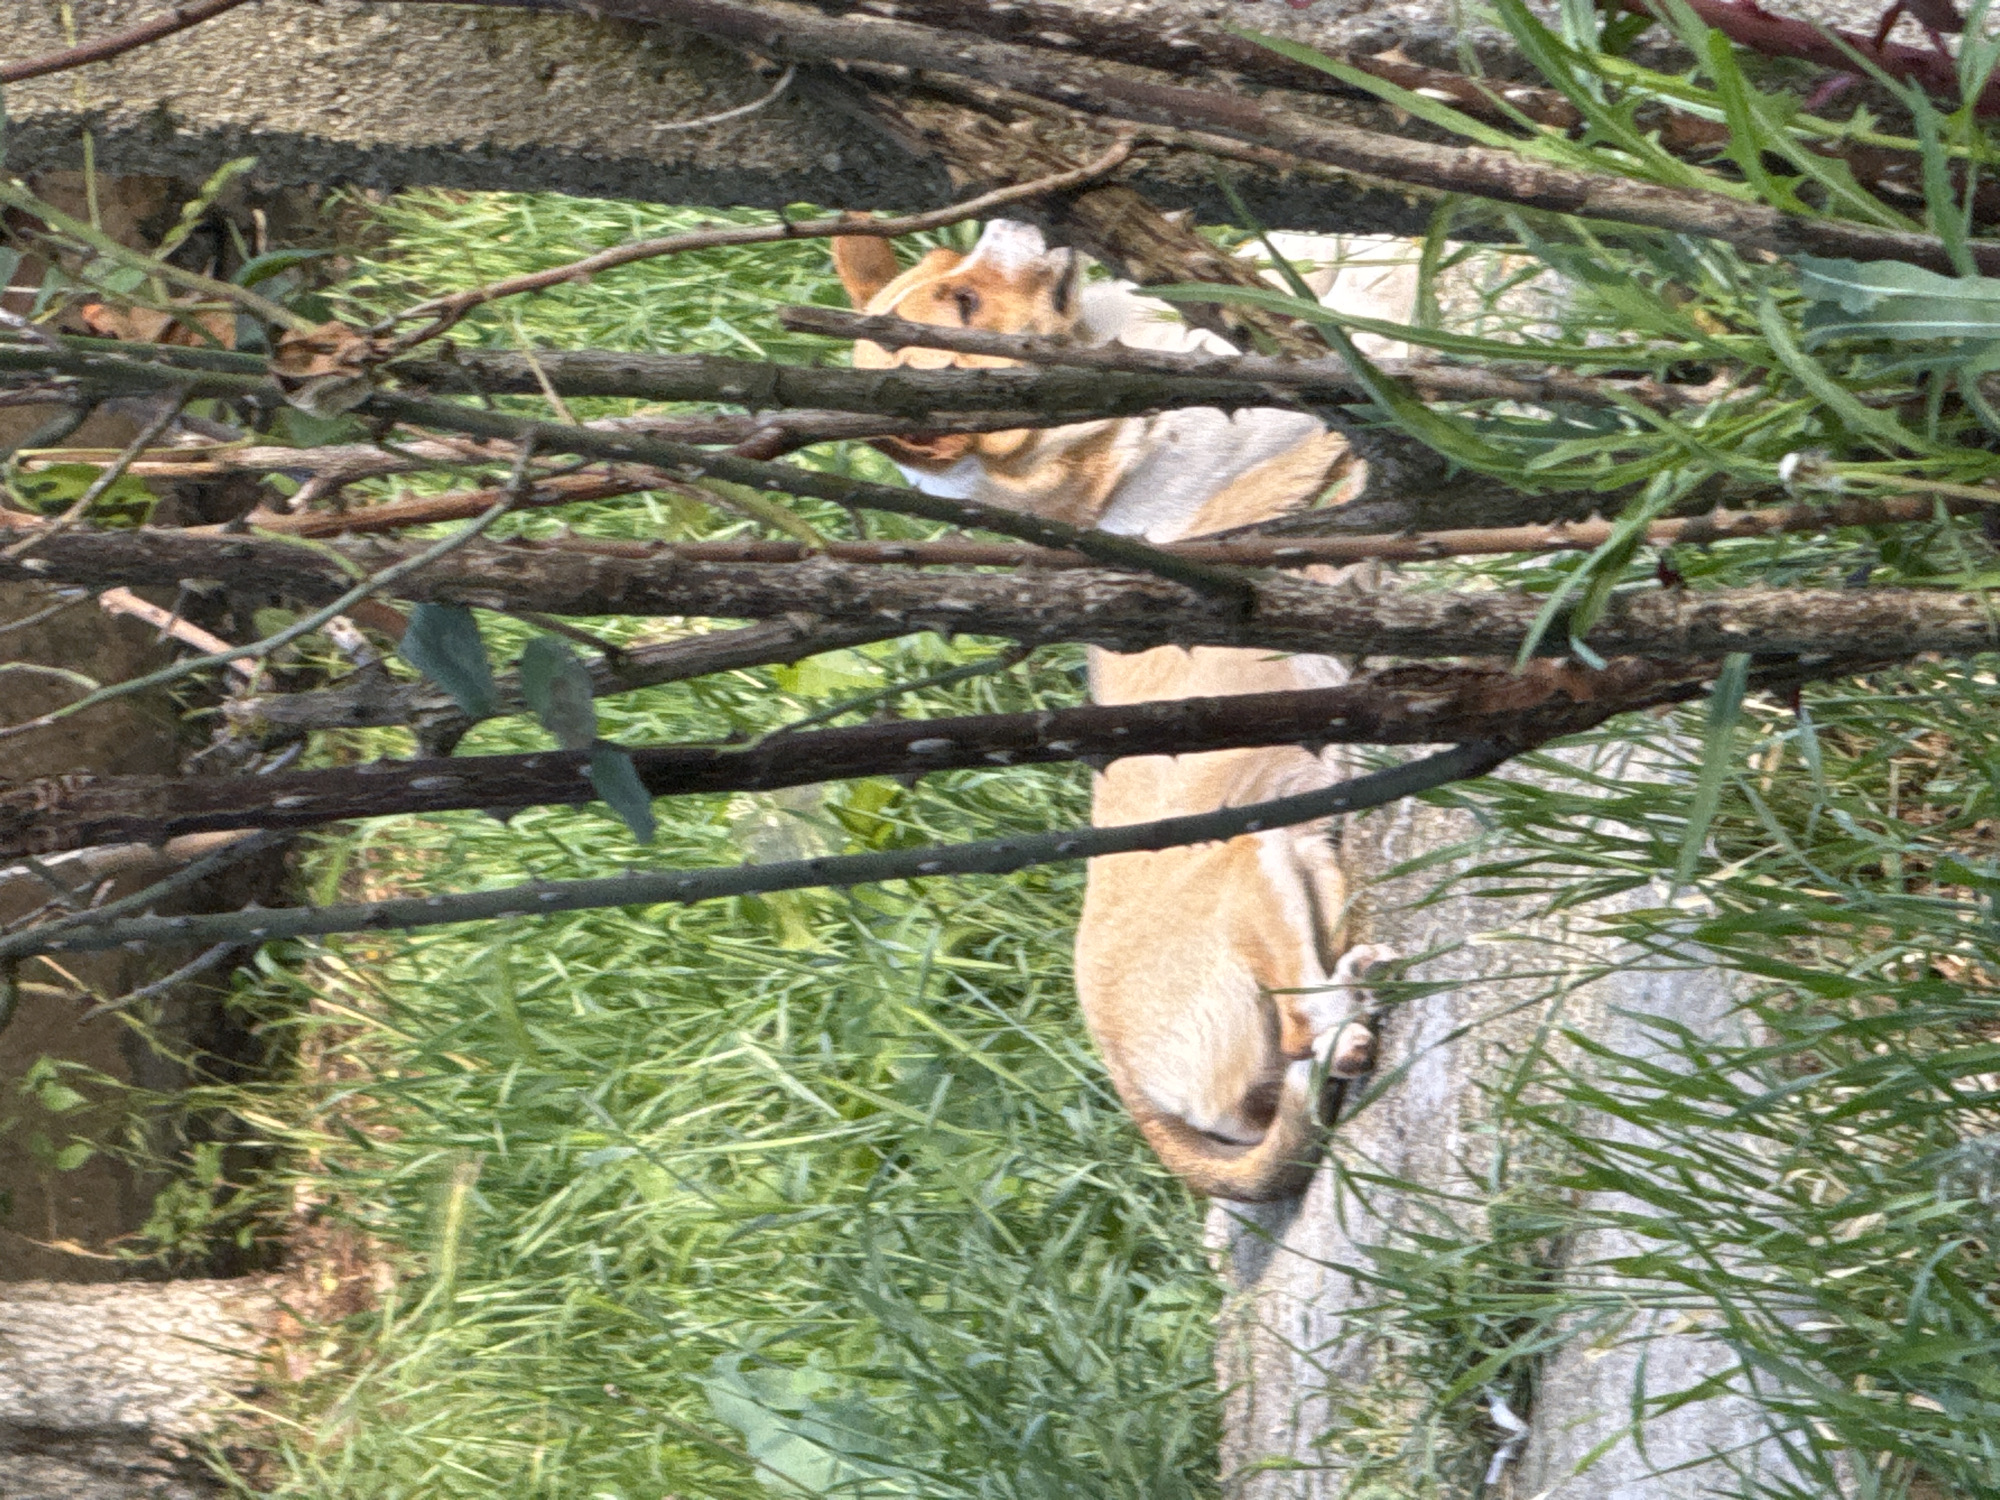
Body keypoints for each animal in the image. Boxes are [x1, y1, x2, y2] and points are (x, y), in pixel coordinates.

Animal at [831, 221, 1410, 1201]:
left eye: (953, 266)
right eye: (965, 304)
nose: (1014, 220)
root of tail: (1131, 1095)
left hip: (1306, 855)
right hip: (1251, 856)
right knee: (1302, 1034)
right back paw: (1345, 1022)